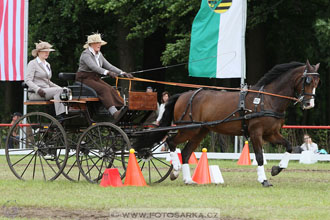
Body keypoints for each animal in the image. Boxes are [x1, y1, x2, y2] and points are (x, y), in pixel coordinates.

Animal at [135, 60, 320, 187]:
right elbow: (260, 156)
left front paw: (276, 169)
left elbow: (289, 147)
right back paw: (175, 170)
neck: (267, 100)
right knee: (171, 142)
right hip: (189, 129)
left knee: (186, 152)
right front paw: (264, 179)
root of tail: (184, 95)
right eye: (308, 81)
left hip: (200, 131)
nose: (309, 104)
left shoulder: (271, 133)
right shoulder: (256, 132)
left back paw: (188, 179)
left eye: (318, 82)